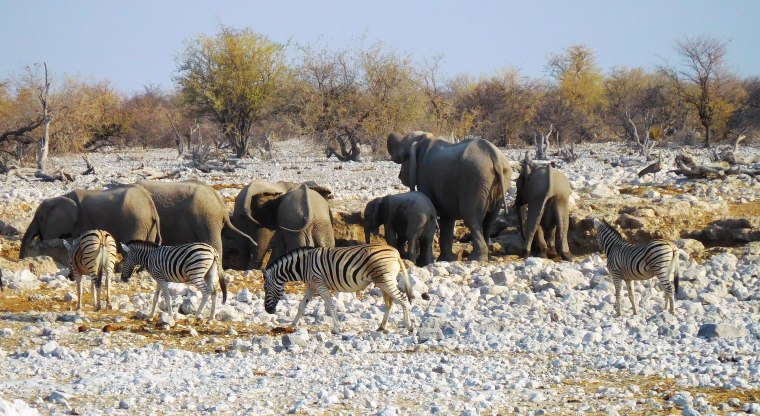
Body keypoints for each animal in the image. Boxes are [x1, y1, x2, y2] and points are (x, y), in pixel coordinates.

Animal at [264, 244, 421, 333]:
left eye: (266, 288)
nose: (268, 311)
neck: (303, 265)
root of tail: (395, 251)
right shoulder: (311, 286)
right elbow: (301, 306)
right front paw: (292, 326)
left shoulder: (319, 284)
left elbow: (330, 304)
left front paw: (336, 328)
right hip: (383, 282)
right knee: (389, 303)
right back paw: (382, 327)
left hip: (385, 280)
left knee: (403, 299)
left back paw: (409, 327)